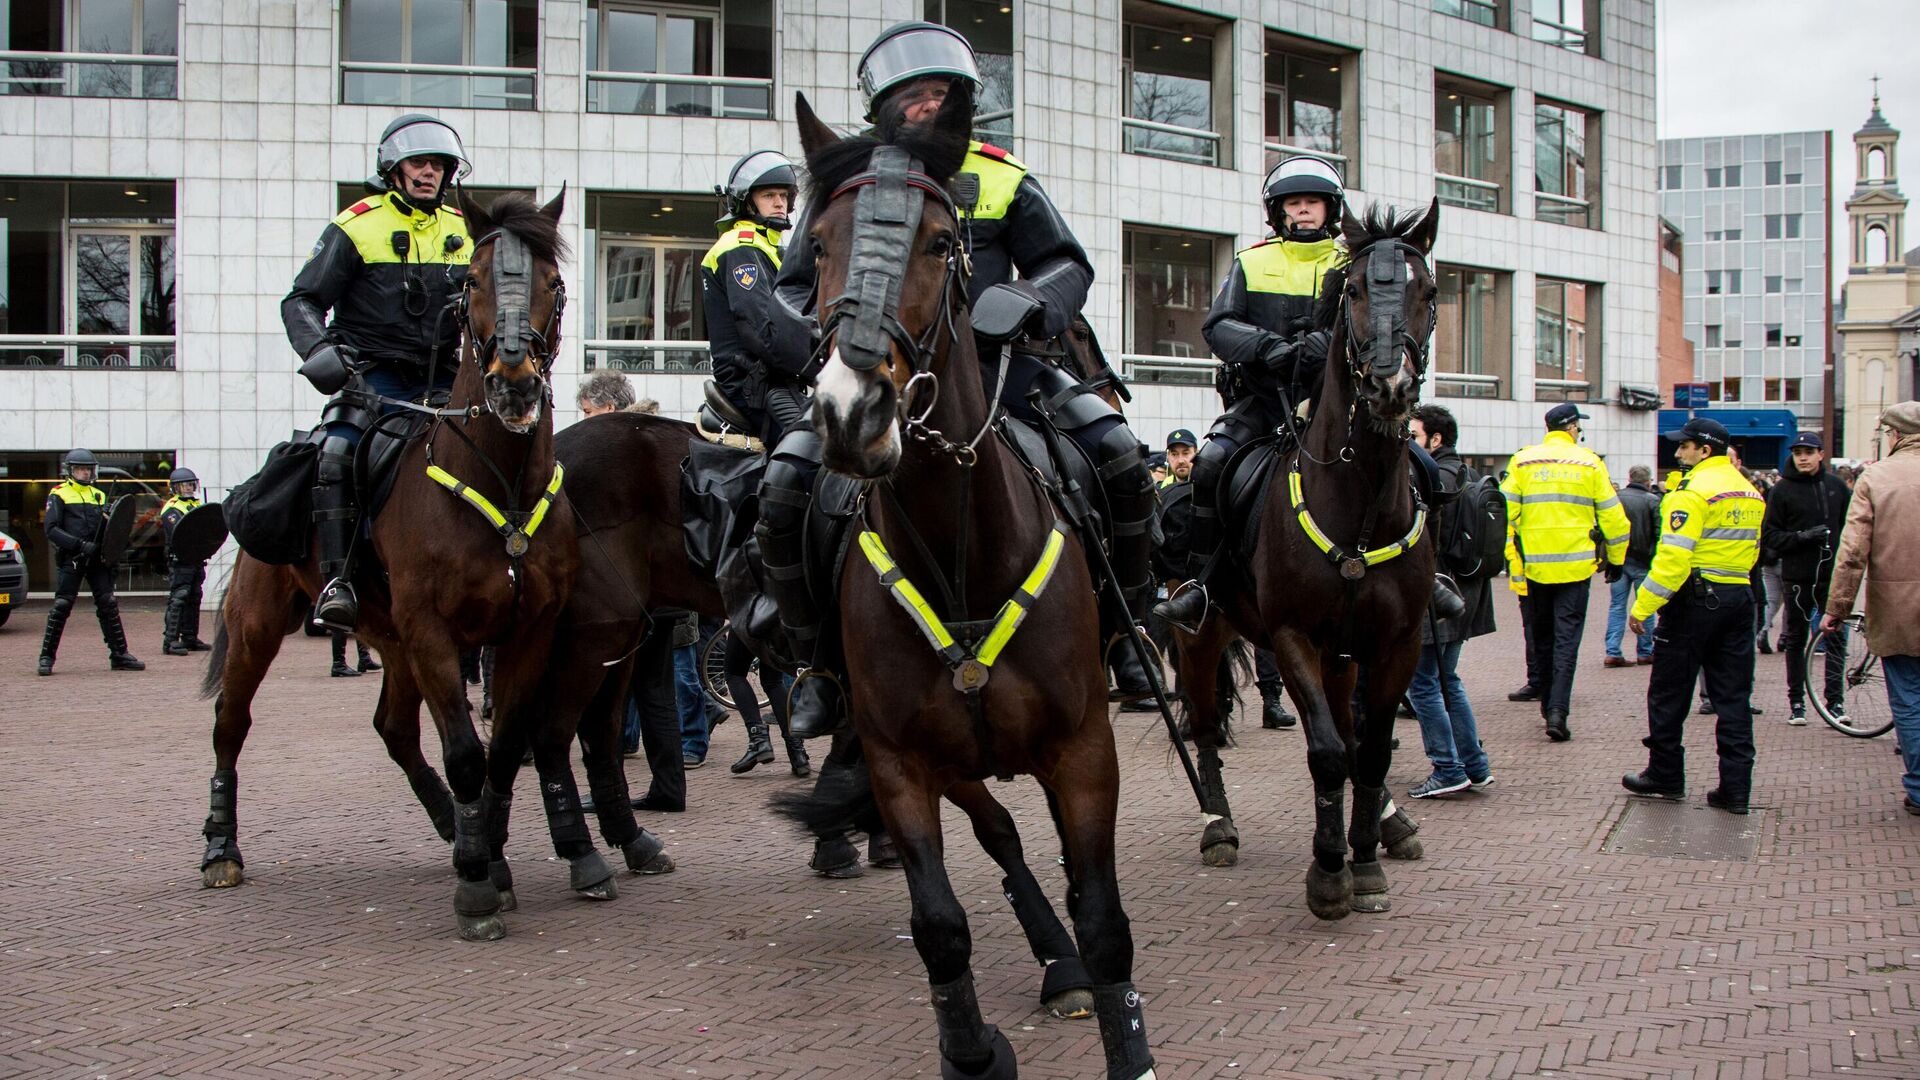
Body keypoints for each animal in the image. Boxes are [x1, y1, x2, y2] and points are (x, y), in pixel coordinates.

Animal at [198, 189, 602, 937]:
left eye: (553, 283)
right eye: (471, 281)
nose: (512, 383)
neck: (498, 480)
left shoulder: (525, 630)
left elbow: (504, 749)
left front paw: (488, 855)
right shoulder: (434, 632)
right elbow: (467, 754)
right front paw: (478, 885)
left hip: (390, 641)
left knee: (393, 729)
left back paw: (450, 826)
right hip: (258, 628)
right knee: (229, 727)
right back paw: (219, 848)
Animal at [783, 92, 1152, 1076]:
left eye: (943, 240)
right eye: (818, 244)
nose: (853, 413)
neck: (960, 560)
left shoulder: (1084, 751)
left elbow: (1107, 921)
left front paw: (1128, 1047)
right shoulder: (902, 762)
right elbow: (941, 926)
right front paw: (972, 1051)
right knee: (1002, 836)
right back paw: (1054, 964)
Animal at [1167, 199, 1443, 914]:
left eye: (1428, 291)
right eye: (1355, 291)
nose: (1389, 386)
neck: (1358, 507)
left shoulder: (1394, 643)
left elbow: (1368, 750)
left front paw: (1365, 858)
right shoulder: (1294, 638)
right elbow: (1325, 752)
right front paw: (1328, 870)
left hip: (1342, 658)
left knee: (1348, 735)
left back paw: (1389, 824)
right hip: (1201, 637)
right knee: (1204, 727)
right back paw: (1217, 825)